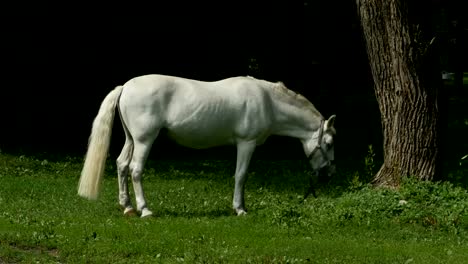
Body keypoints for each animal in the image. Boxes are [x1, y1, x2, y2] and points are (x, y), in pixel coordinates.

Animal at [79, 73, 336, 217]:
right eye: (330, 143)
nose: (328, 174)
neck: (267, 101)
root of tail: (125, 87)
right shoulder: (246, 143)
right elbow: (241, 175)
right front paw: (240, 209)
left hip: (131, 139)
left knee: (122, 165)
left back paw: (127, 207)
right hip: (144, 140)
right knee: (135, 169)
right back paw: (144, 210)